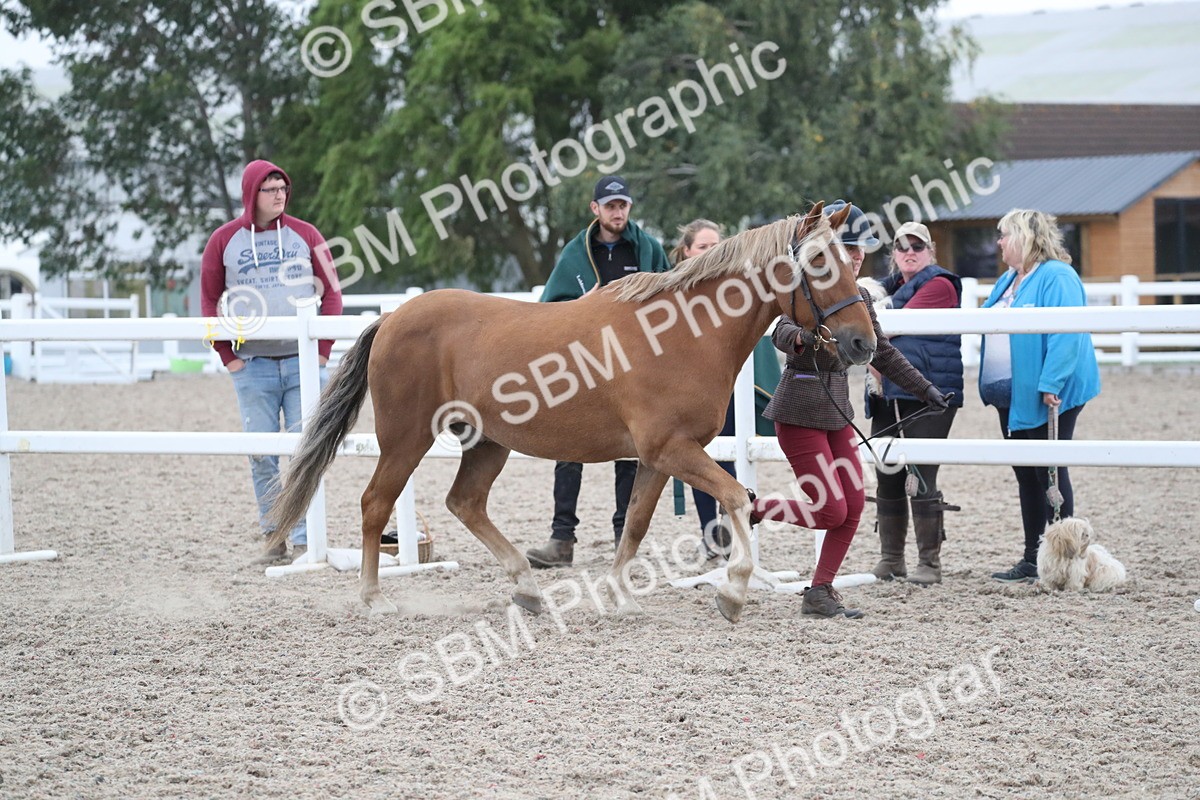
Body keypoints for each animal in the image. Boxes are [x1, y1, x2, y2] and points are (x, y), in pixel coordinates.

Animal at [267, 201, 876, 623]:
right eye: (818, 263)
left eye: (850, 262)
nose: (862, 344)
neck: (683, 333)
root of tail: (392, 317)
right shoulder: (673, 450)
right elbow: (734, 498)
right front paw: (733, 591)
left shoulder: (656, 459)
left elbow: (635, 524)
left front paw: (624, 598)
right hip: (406, 438)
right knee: (375, 504)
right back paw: (373, 599)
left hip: (488, 442)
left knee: (465, 503)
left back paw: (527, 589)